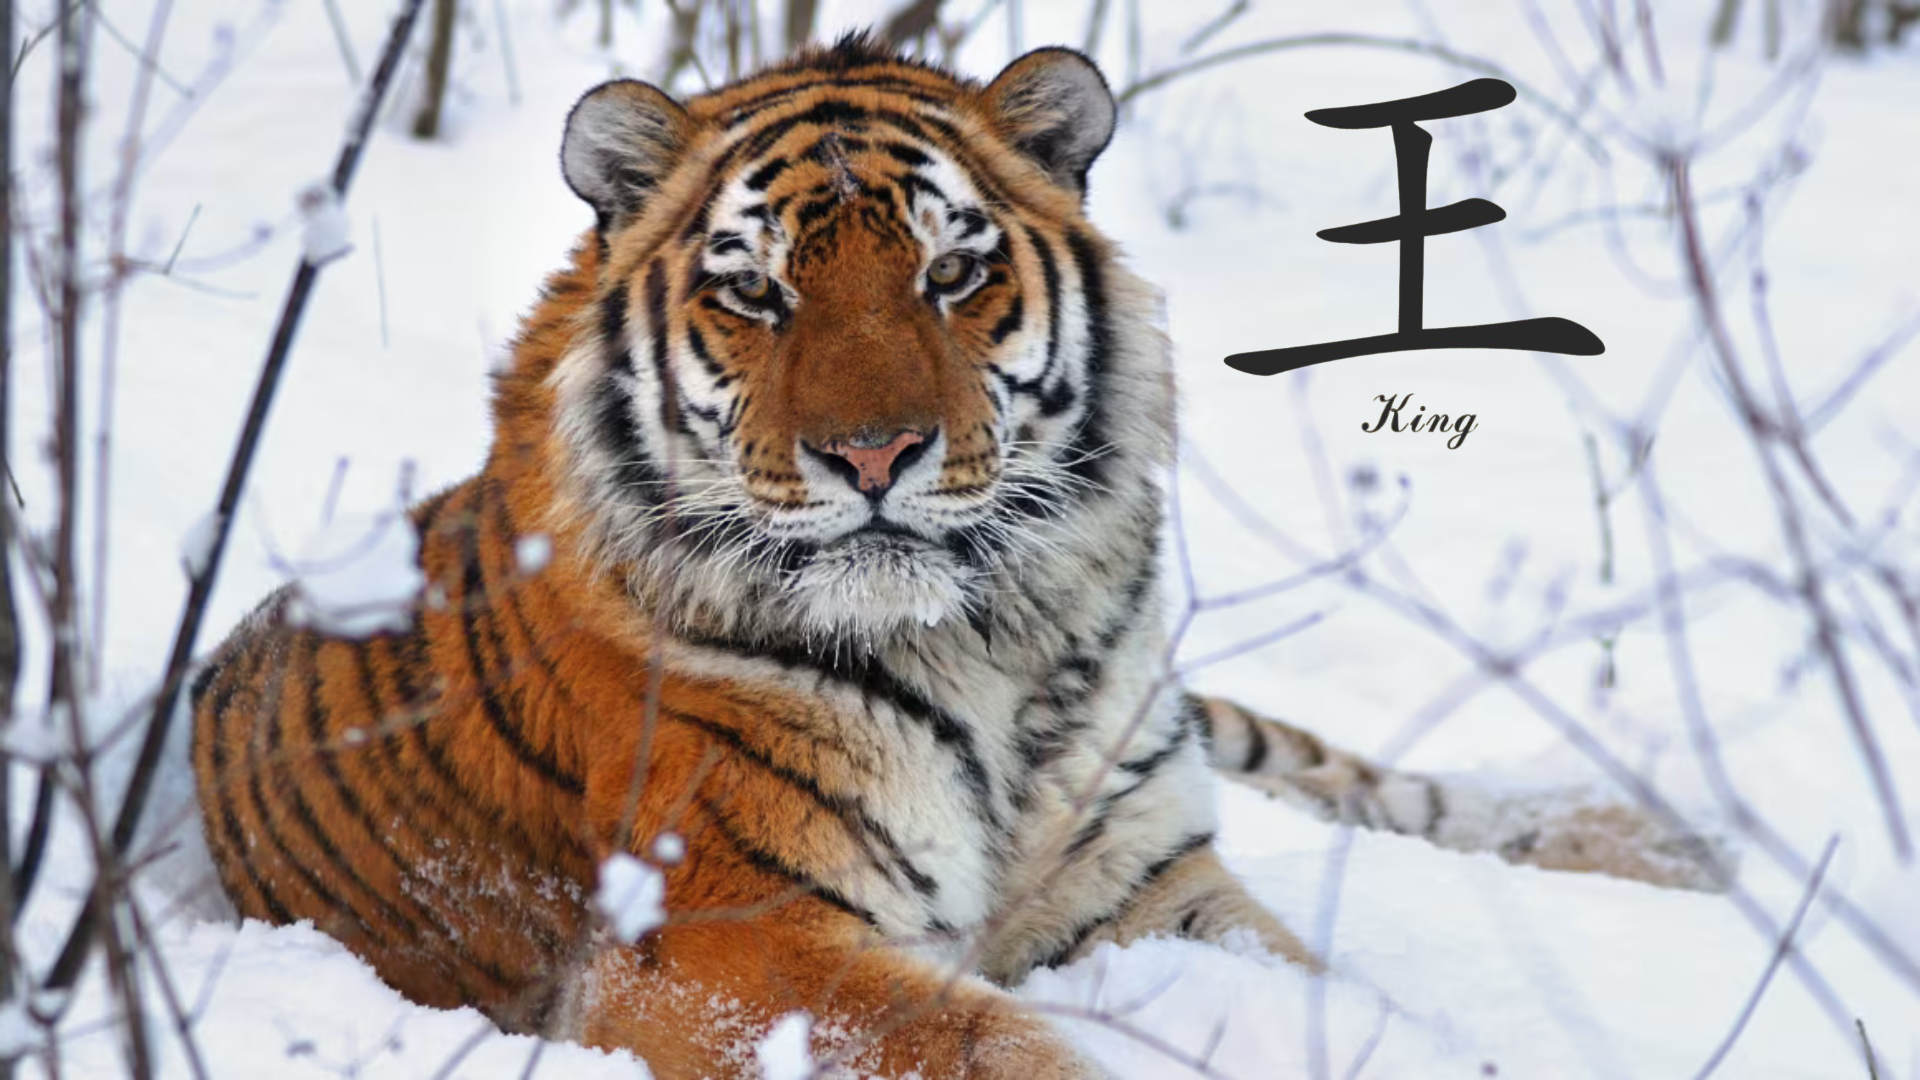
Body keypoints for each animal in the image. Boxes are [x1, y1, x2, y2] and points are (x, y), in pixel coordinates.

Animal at [187, 35, 1720, 1080]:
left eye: (952, 273)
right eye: (755, 291)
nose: (874, 457)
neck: (997, 646)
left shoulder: (1147, 880)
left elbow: (1329, 990)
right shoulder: (724, 940)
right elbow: (1000, 1050)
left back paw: (1666, 841)